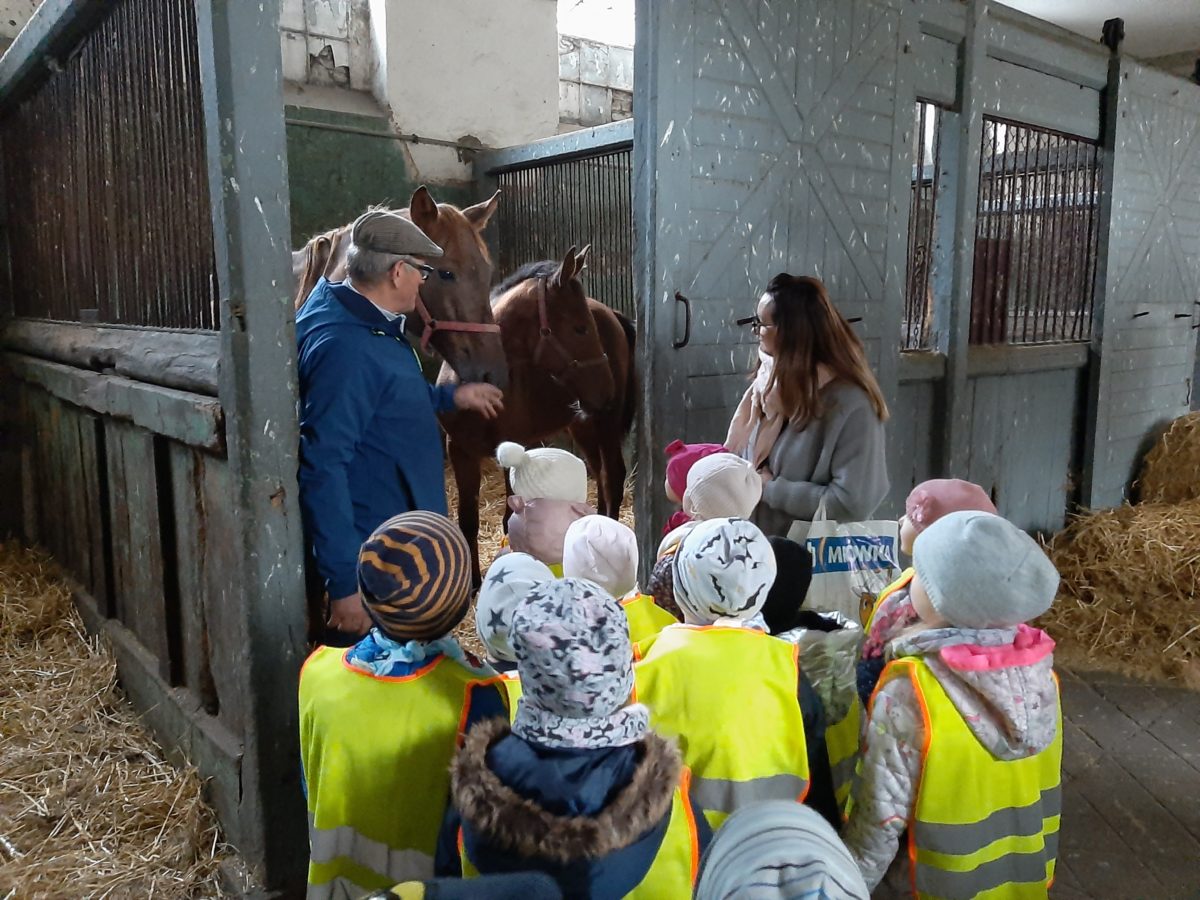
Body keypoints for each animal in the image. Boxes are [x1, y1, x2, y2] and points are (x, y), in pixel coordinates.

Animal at [439, 246, 637, 584]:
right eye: (579, 328)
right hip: (583, 426)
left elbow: (509, 518)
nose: (607, 392)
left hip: (604, 424)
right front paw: (473, 584)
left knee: (613, 476)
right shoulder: (460, 451)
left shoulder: (513, 447)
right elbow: (467, 521)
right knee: (599, 474)